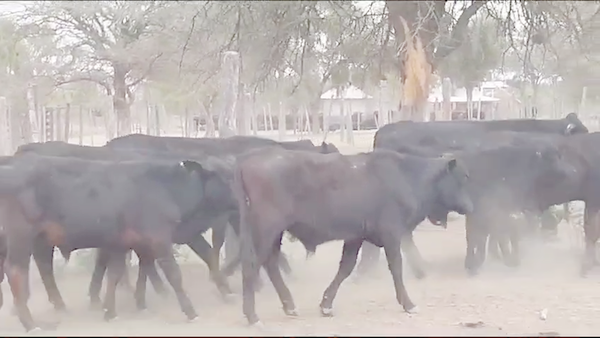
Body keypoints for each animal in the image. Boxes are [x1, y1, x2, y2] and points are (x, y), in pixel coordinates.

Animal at [0, 154, 230, 332]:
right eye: (220, 175)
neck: (164, 187)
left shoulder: (123, 243)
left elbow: (115, 274)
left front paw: (111, 311)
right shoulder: (158, 240)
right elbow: (173, 275)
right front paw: (190, 311)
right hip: (21, 239)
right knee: (16, 271)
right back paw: (30, 323)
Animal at [234, 147, 474, 324]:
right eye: (462, 177)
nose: (469, 206)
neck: (407, 176)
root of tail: (249, 159)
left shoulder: (355, 236)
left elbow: (346, 268)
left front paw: (326, 305)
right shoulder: (391, 233)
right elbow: (396, 267)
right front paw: (408, 304)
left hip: (274, 234)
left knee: (270, 264)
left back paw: (290, 306)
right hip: (266, 230)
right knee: (252, 264)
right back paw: (252, 315)